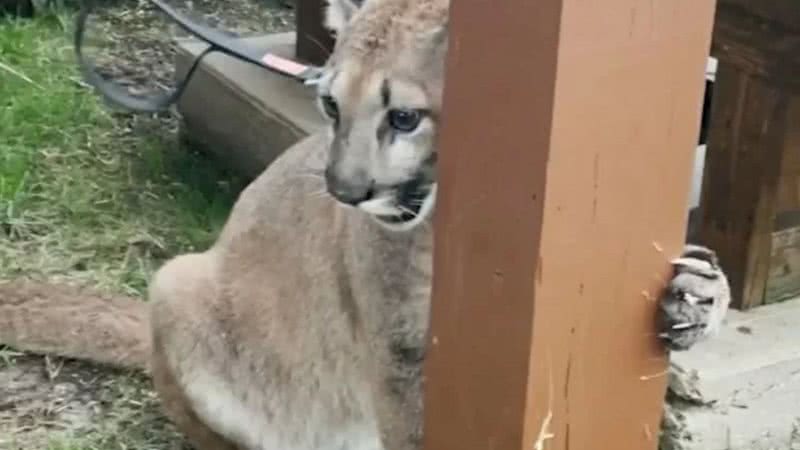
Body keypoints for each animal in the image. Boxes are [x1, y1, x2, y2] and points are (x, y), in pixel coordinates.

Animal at [0, 0, 732, 448]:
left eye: (403, 118)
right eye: (329, 104)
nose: (344, 192)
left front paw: (693, 296)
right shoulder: (402, 355)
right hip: (177, 285)